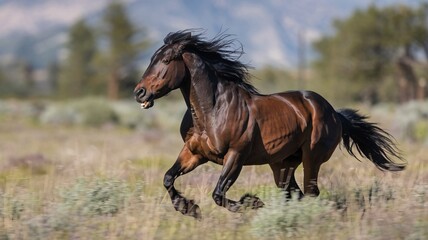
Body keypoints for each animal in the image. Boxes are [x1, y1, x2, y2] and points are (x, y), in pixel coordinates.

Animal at [134, 30, 404, 219]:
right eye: (152, 58)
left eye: (166, 59)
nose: (139, 92)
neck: (212, 110)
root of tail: (334, 113)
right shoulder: (194, 153)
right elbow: (168, 178)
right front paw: (188, 208)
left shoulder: (236, 155)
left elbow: (219, 193)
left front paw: (252, 203)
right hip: (282, 164)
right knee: (295, 194)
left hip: (312, 158)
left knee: (311, 193)